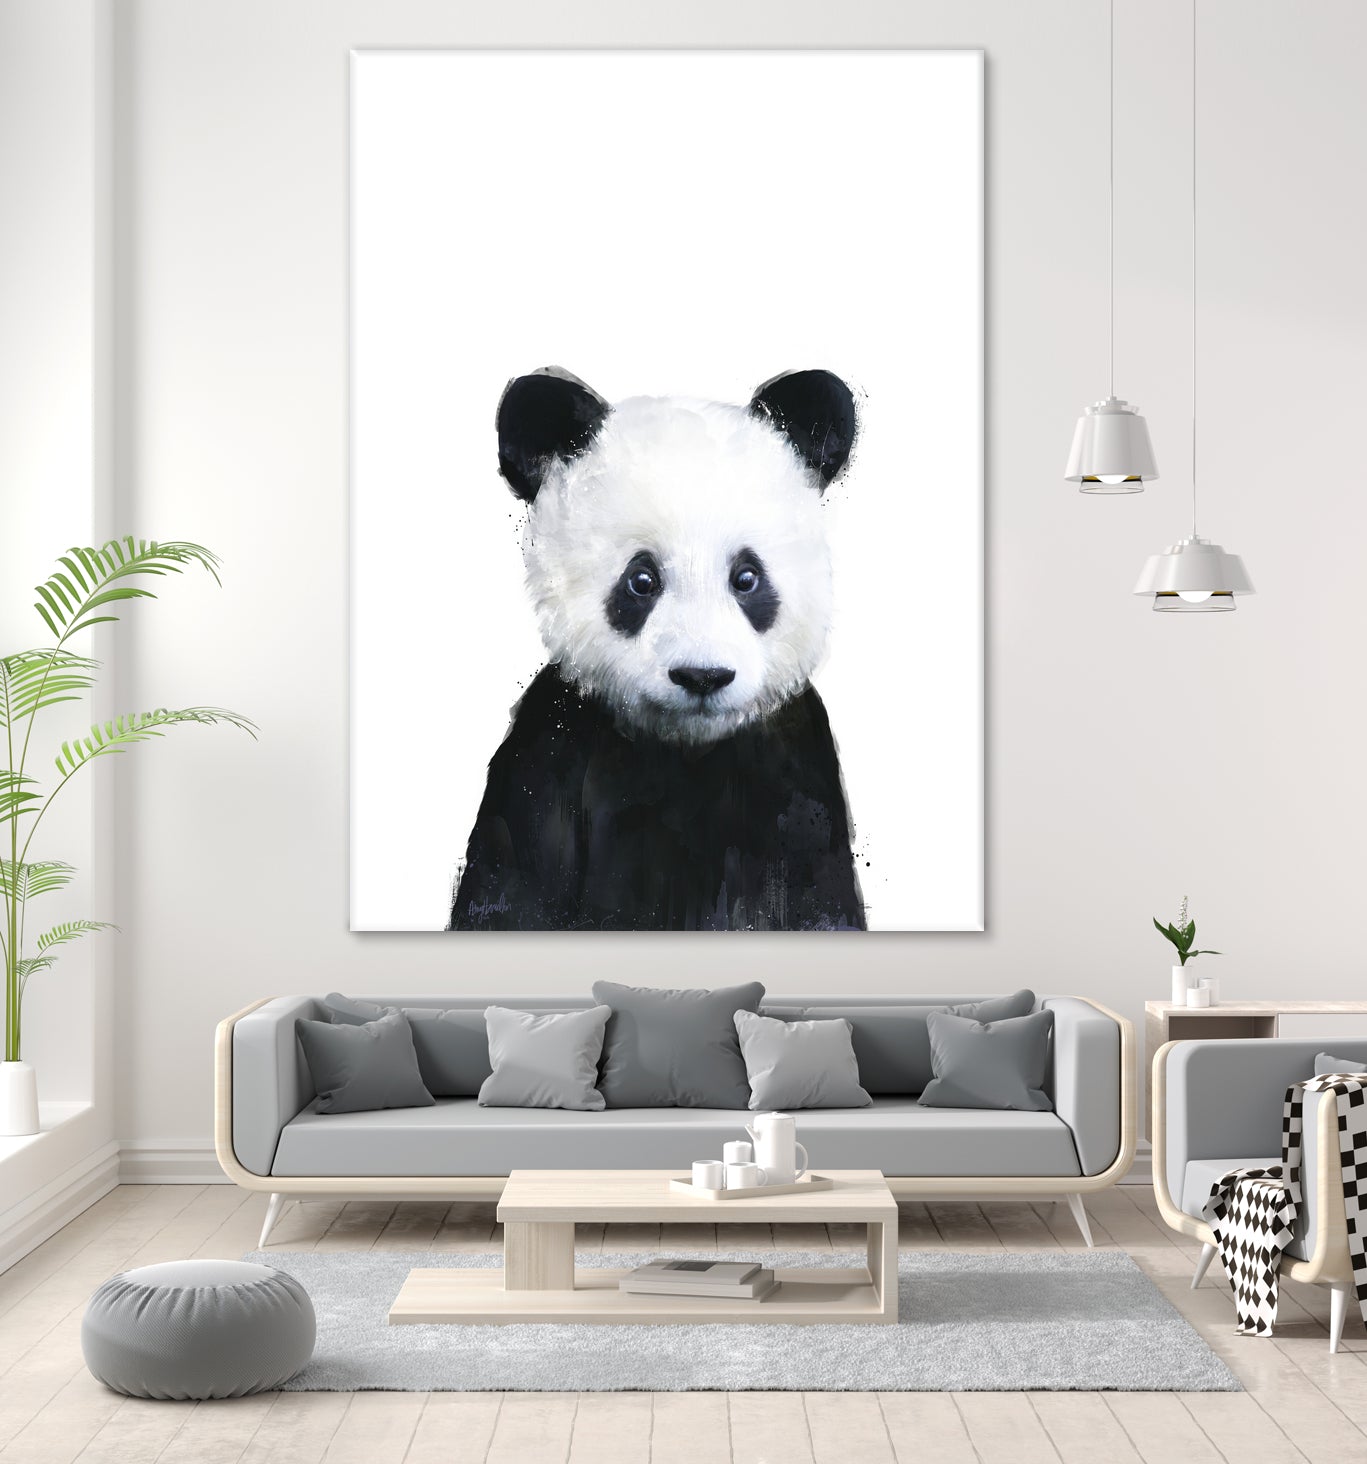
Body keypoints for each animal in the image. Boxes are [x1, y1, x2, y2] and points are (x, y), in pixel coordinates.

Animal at [448, 366, 865, 932]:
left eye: (747, 577)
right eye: (641, 580)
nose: (702, 676)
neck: (685, 748)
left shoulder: (795, 772)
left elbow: (817, 900)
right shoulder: (551, 753)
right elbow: (512, 889)